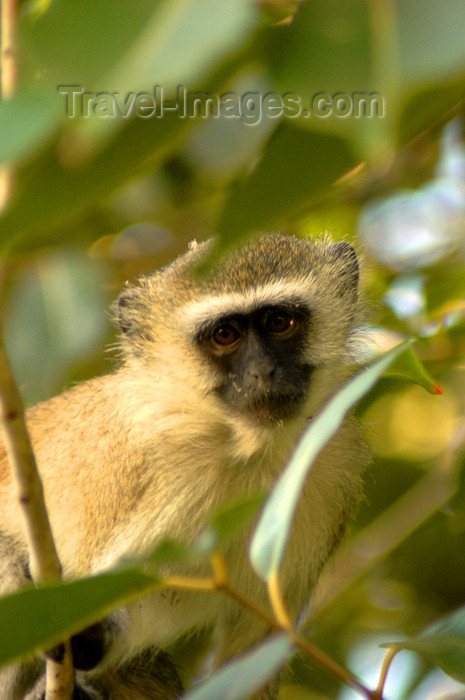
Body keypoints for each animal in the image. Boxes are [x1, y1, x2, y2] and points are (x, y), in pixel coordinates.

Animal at [0, 232, 370, 696]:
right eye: (225, 335)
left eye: (279, 322)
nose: (264, 372)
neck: (249, 448)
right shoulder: (149, 469)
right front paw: (85, 637)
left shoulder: (334, 465)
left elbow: (255, 651)